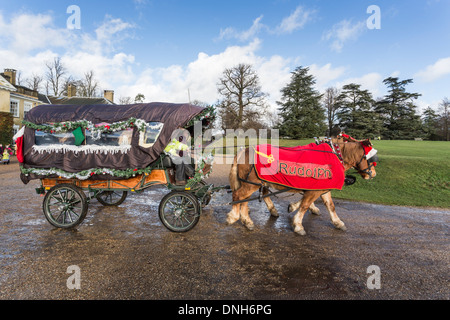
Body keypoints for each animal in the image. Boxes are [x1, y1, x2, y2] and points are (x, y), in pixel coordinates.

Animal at [227, 136, 378, 236]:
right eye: (371, 158)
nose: (373, 174)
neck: (334, 156)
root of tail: (244, 151)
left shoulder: (322, 188)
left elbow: (330, 206)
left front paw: (337, 222)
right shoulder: (313, 190)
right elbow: (305, 205)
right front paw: (298, 224)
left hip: (254, 183)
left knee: (247, 199)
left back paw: (248, 220)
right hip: (251, 184)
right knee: (239, 195)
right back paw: (235, 216)